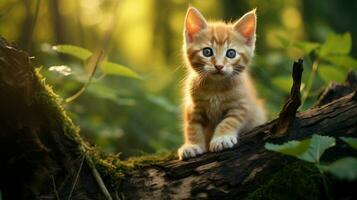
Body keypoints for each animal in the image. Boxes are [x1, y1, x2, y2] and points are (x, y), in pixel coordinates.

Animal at [177, 7, 266, 160]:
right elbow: (192, 127)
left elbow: (229, 121)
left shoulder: (241, 106)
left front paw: (222, 138)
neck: (215, 88)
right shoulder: (193, 108)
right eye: (207, 52)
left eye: (231, 53)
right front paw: (192, 145)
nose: (219, 66)